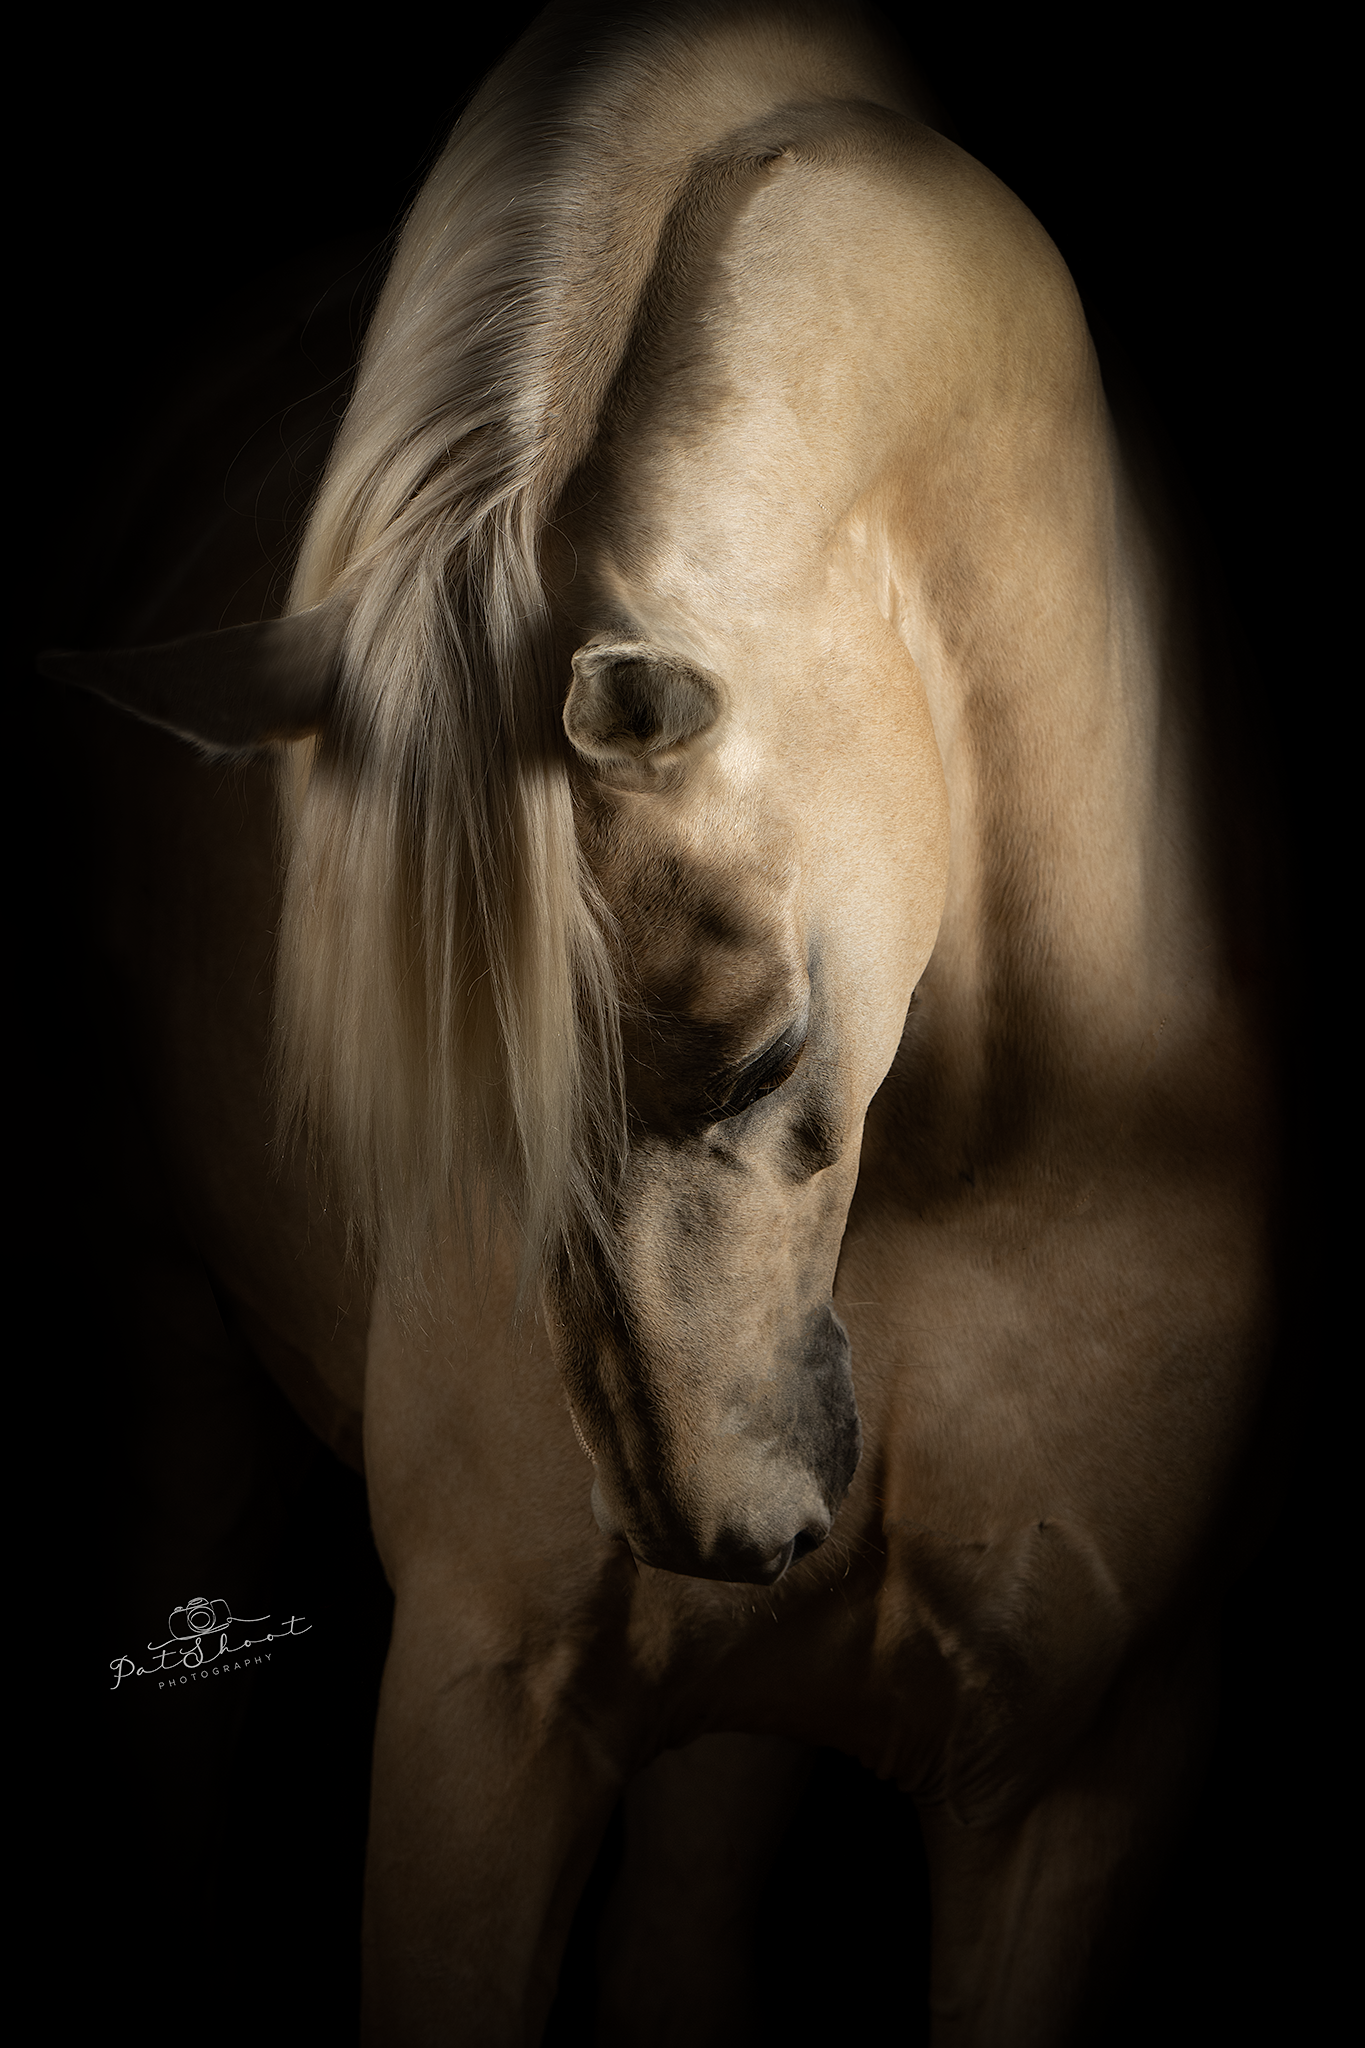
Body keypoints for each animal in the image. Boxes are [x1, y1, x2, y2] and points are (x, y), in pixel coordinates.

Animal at [51, 2, 1278, 2040]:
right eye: (451, 1127)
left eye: (772, 1053)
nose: (723, 1537)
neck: (999, 1146)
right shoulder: (485, 1721)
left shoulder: (1076, 1788)